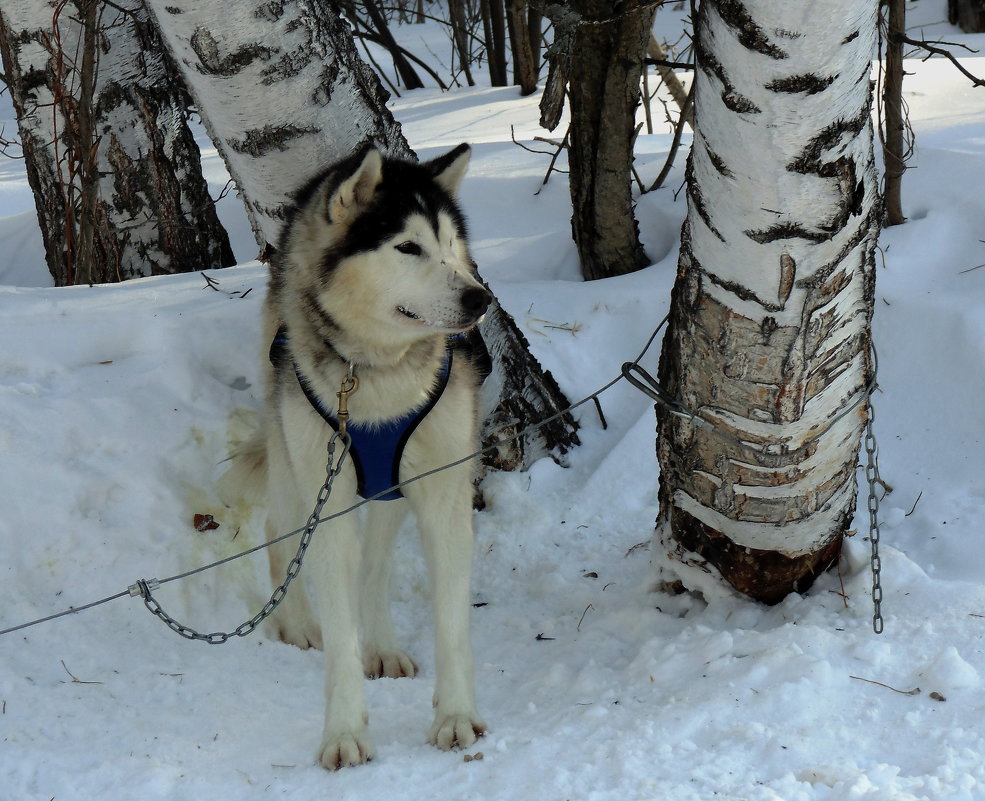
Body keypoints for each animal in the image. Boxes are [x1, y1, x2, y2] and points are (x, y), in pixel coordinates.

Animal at [229, 144, 492, 768]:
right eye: (408, 247)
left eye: (451, 244)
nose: (480, 297)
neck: (378, 378)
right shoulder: (327, 501)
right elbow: (338, 635)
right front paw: (344, 732)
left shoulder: (443, 495)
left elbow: (451, 627)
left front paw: (455, 716)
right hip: (296, 469)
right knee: (280, 534)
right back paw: (296, 622)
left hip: (390, 483)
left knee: (374, 563)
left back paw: (383, 646)